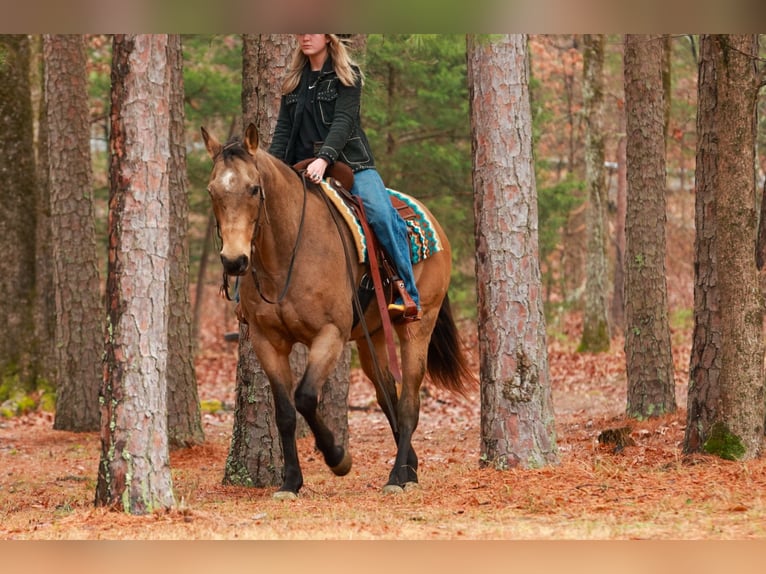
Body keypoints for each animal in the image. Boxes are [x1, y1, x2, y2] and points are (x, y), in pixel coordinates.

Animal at [201, 123, 474, 499]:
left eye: (254, 189)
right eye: (212, 190)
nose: (233, 261)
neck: (289, 251)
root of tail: (429, 218)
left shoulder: (330, 334)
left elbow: (304, 397)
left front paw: (338, 459)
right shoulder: (267, 340)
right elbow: (285, 412)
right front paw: (290, 482)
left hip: (418, 326)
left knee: (408, 403)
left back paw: (396, 477)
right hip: (372, 335)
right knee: (387, 395)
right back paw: (410, 469)